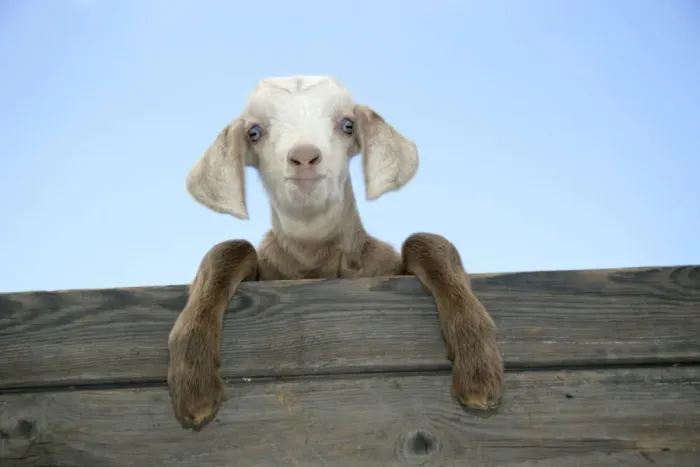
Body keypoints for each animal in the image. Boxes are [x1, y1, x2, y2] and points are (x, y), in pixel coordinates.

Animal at [167, 75, 503, 431]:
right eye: (254, 132)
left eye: (348, 125)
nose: (304, 158)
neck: (317, 256)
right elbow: (230, 247)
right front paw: (194, 381)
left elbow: (424, 240)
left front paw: (478, 365)